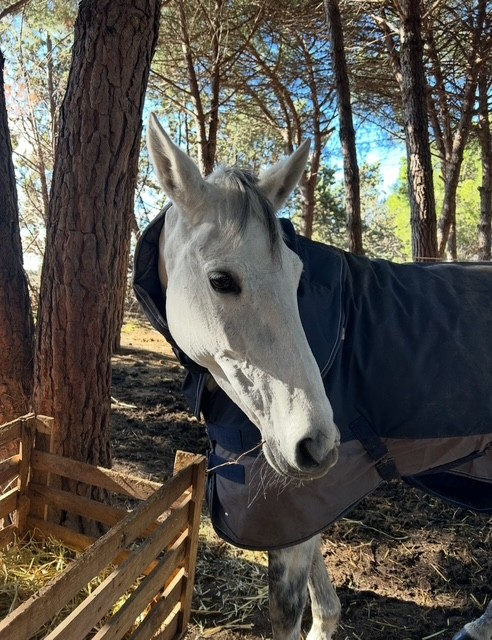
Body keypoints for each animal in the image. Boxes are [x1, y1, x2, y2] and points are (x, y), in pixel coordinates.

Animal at [134, 112, 492, 640]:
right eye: (221, 280)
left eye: (296, 277)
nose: (318, 445)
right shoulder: (301, 503)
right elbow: (322, 592)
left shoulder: (288, 504)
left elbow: (287, 609)